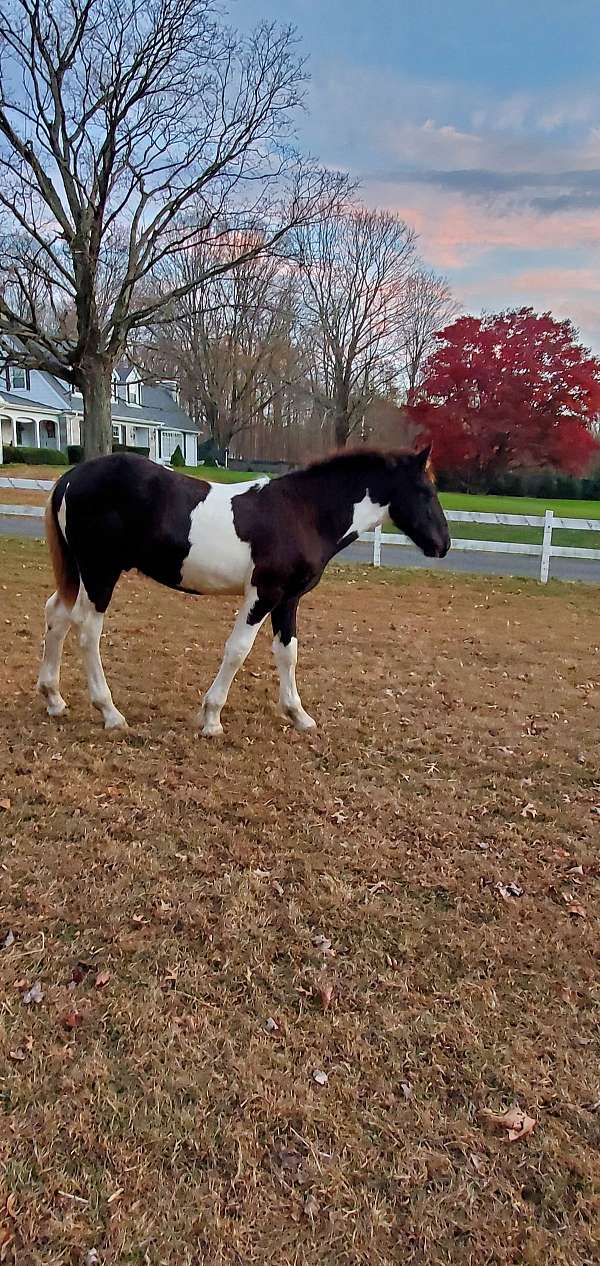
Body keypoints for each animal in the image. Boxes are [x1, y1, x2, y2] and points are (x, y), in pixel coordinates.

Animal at [37, 450, 450, 739]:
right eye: (425, 490)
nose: (443, 545)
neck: (302, 512)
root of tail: (72, 477)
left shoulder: (288, 599)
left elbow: (287, 653)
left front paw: (299, 715)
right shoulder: (262, 594)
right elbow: (237, 650)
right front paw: (212, 719)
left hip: (79, 573)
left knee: (56, 615)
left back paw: (54, 699)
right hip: (100, 574)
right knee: (87, 632)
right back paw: (110, 712)